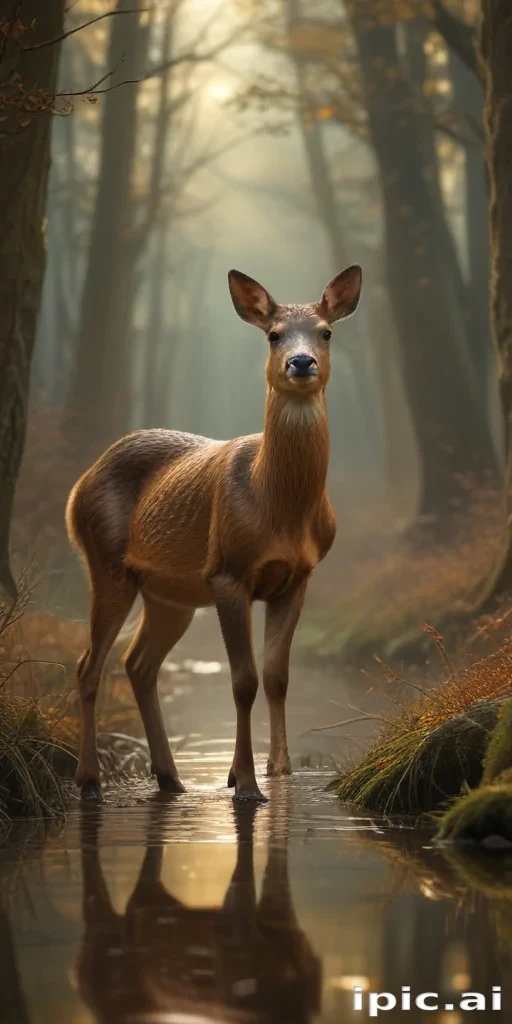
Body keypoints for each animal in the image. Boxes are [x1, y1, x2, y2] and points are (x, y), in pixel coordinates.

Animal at [66, 265, 362, 802]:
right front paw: (243, 782)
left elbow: (278, 676)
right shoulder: (228, 571)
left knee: (139, 664)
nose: (301, 361)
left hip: (170, 593)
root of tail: (78, 486)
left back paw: (171, 777)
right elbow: (243, 680)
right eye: (273, 335)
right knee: (89, 664)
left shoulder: (298, 576)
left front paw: (279, 771)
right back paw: (91, 782)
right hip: (105, 562)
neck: (279, 510)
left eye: (326, 332)